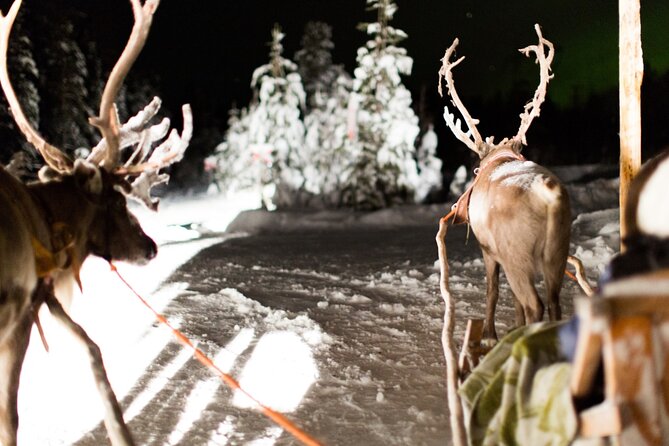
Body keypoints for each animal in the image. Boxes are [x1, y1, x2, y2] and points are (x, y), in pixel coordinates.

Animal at [0, 0, 192, 445]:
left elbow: (91, 349)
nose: (150, 246)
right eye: (118, 203)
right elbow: (10, 415)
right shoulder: (22, 312)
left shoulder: (42, 298)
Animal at [437, 24, 571, 343]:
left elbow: (493, 291)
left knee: (534, 303)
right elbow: (512, 298)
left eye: (474, 169)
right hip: (558, 251)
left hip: (516, 253)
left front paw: (489, 334)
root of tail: (549, 195)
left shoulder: (488, 249)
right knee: (554, 302)